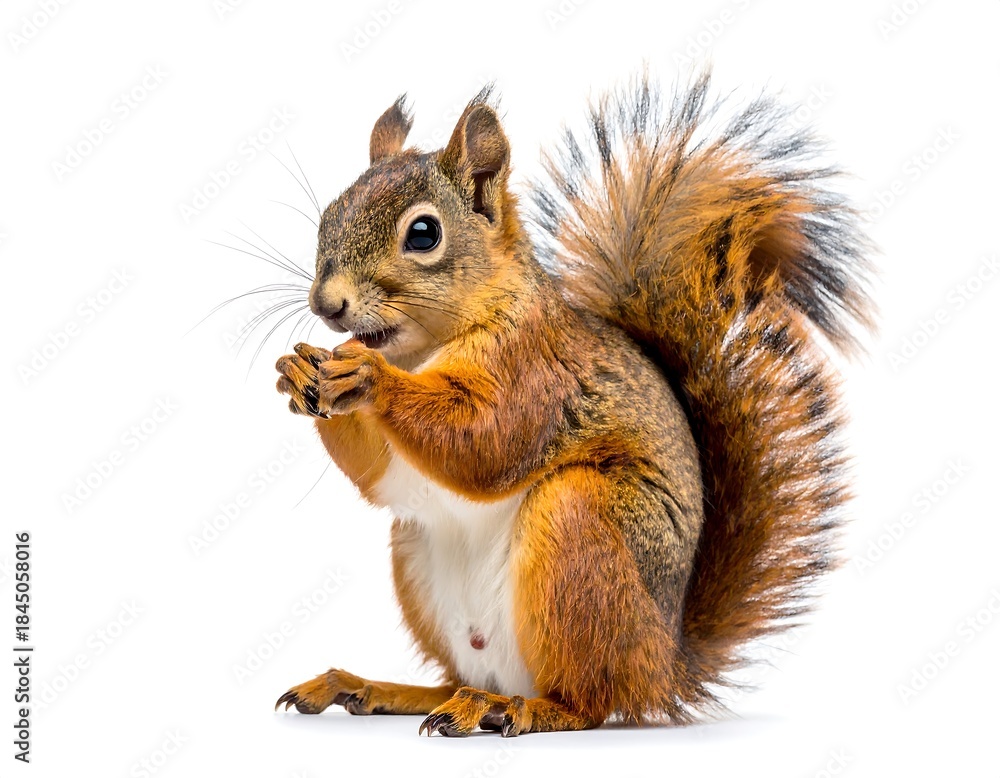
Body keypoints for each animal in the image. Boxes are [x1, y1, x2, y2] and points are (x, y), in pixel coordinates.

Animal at [272, 71, 874, 737]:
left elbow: (485, 441)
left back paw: (517, 708)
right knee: (453, 682)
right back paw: (376, 688)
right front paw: (300, 369)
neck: (424, 349)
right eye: (329, 214)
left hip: (579, 529)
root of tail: (664, 662)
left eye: (423, 234)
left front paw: (369, 376)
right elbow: (381, 473)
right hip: (417, 557)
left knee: (589, 699)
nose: (327, 305)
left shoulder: (539, 373)